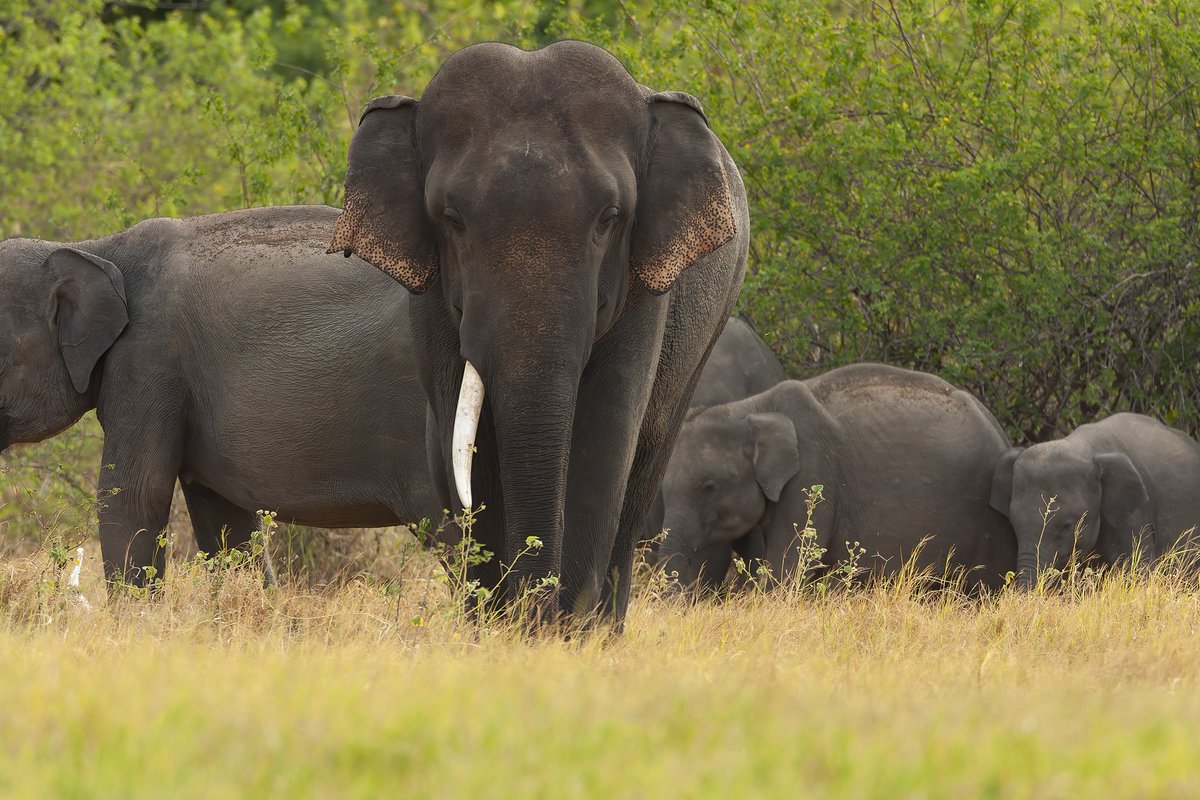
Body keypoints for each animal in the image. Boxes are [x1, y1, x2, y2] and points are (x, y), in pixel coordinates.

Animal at [328, 40, 748, 623]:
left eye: (610, 218)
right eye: (451, 218)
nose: (536, 611)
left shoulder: (644, 290)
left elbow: (603, 437)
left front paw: (559, 630)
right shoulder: (430, 300)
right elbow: (470, 446)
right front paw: (499, 623)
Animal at [657, 363, 1018, 591]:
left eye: (709, 486)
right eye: (664, 490)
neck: (752, 408)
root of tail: (998, 429)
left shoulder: (813, 472)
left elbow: (789, 564)